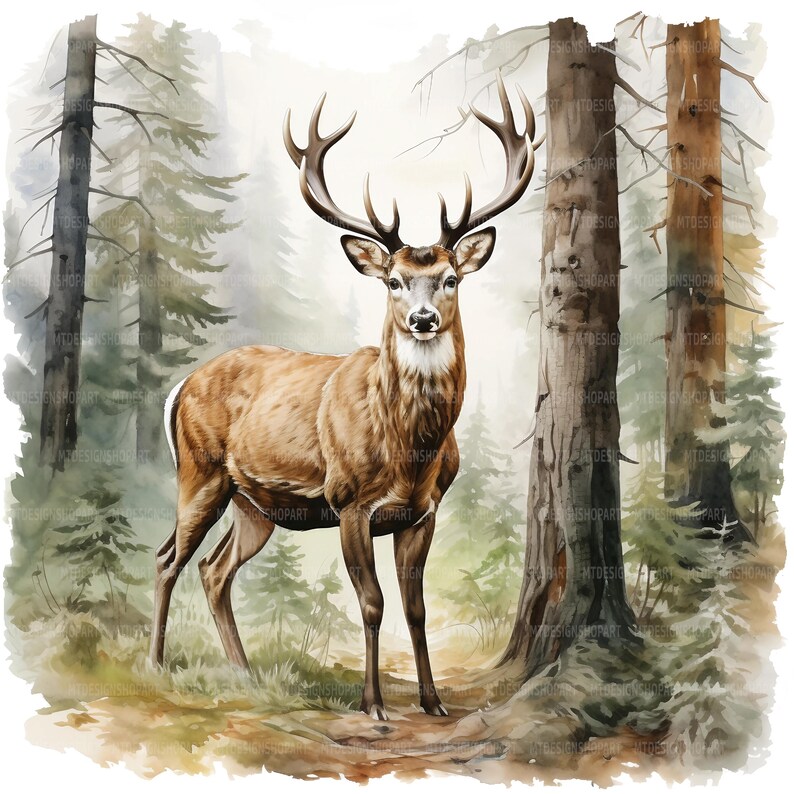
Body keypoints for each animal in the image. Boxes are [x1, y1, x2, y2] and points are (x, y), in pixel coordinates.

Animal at [149, 73, 536, 720]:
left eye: (450, 278)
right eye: (395, 281)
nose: (424, 319)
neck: (411, 451)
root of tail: (179, 386)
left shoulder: (425, 510)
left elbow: (415, 607)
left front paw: (432, 702)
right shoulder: (349, 501)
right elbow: (373, 602)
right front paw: (373, 705)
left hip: (255, 505)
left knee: (214, 568)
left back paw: (245, 673)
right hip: (200, 473)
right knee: (167, 560)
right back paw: (154, 664)